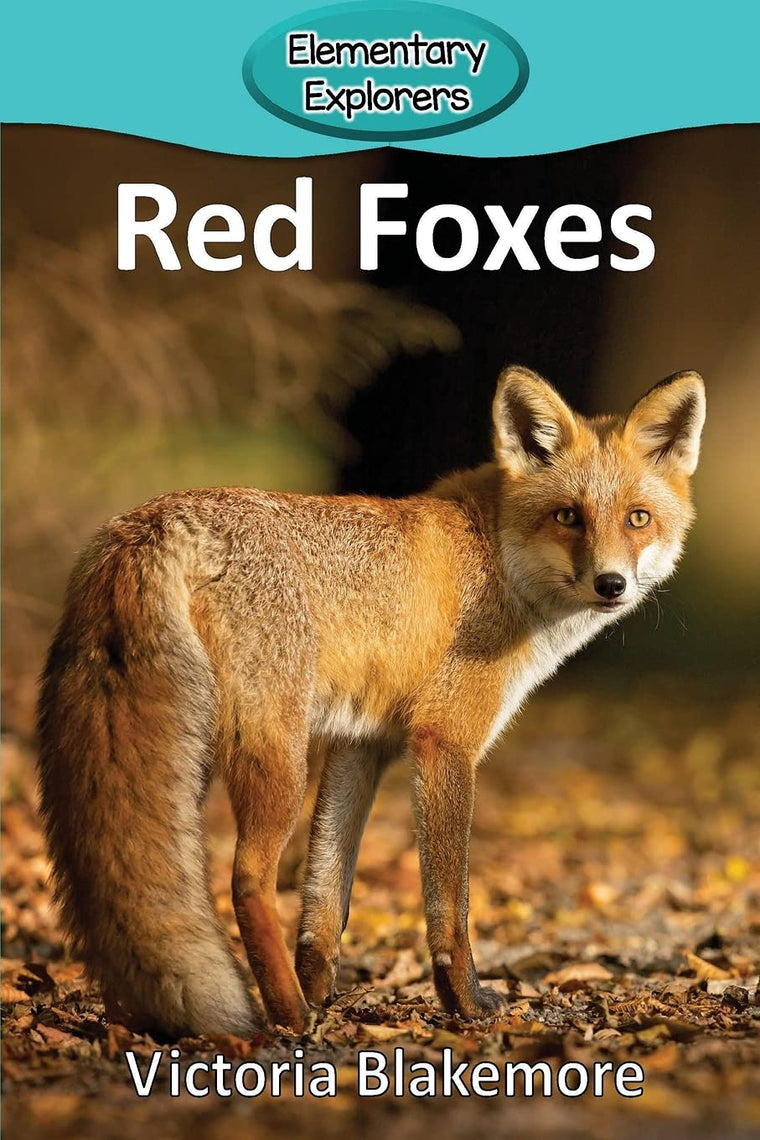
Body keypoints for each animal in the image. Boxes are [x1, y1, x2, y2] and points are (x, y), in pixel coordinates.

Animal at [37, 365, 706, 1039]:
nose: (611, 584)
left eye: (638, 518)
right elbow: (449, 904)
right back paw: (287, 1017)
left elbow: (326, 898)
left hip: (194, 752)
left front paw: (323, 988)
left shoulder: (361, 743)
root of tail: (153, 522)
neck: (495, 558)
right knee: (247, 880)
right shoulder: (443, 740)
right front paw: (464, 1003)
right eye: (568, 515)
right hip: (274, 757)